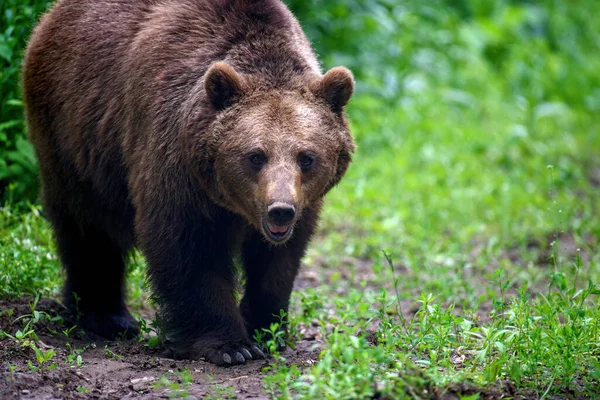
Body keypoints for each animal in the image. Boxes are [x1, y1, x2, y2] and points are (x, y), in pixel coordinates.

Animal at [23, 0, 354, 366]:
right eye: (256, 155)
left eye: (306, 157)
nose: (280, 210)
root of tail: (49, 17)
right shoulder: (174, 159)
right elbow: (189, 247)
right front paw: (229, 345)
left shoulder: (302, 206)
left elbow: (277, 260)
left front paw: (266, 329)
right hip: (73, 135)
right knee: (87, 225)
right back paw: (107, 318)